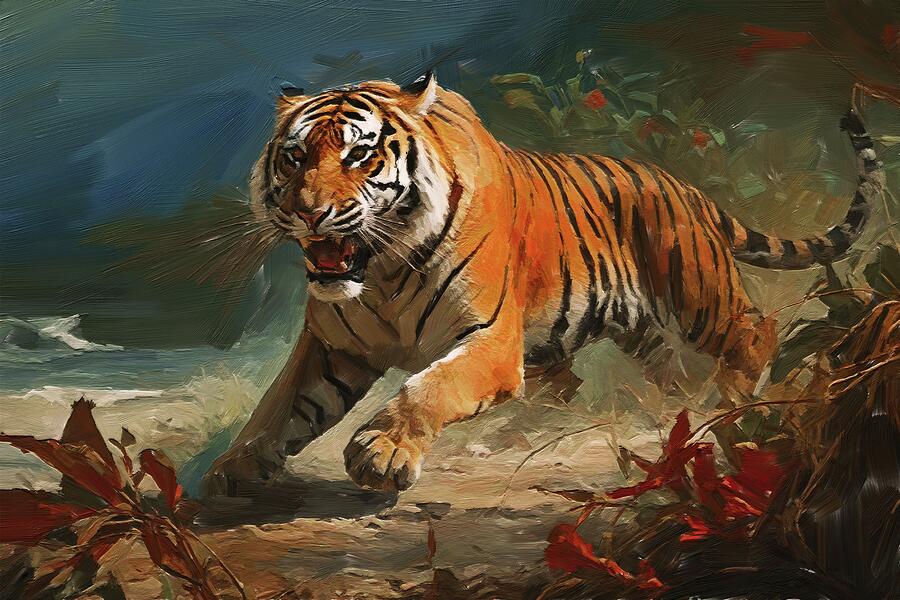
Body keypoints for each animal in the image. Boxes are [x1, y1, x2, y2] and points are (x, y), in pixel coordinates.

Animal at [204, 72, 882, 496]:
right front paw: (235, 465)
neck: (381, 272)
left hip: (694, 292)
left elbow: (429, 388)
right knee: (651, 378)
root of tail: (687, 190)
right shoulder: (332, 345)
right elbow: (280, 404)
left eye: (359, 155)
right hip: (642, 332)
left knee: (755, 326)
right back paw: (671, 415)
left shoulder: (490, 342)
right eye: (294, 156)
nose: (309, 212)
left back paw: (733, 402)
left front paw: (383, 452)